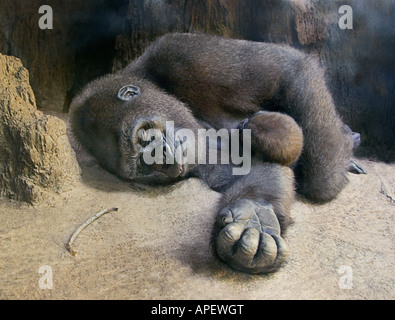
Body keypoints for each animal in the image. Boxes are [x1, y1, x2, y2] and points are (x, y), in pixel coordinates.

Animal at [69, 33, 358, 276]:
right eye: (142, 165)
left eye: (146, 137)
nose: (164, 159)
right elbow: (253, 166)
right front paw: (252, 215)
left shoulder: (178, 54)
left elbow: (289, 70)